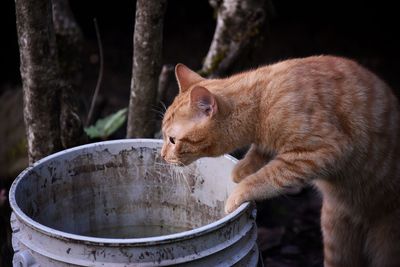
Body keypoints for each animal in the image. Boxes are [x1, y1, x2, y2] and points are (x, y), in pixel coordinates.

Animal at [161, 55, 400, 266]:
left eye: (172, 140)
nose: (162, 156)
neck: (261, 102)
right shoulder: (267, 144)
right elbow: (257, 156)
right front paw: (240, 171)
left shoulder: (321, 151)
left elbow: (269, 176)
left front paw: (238, 192)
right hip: (336, 234)